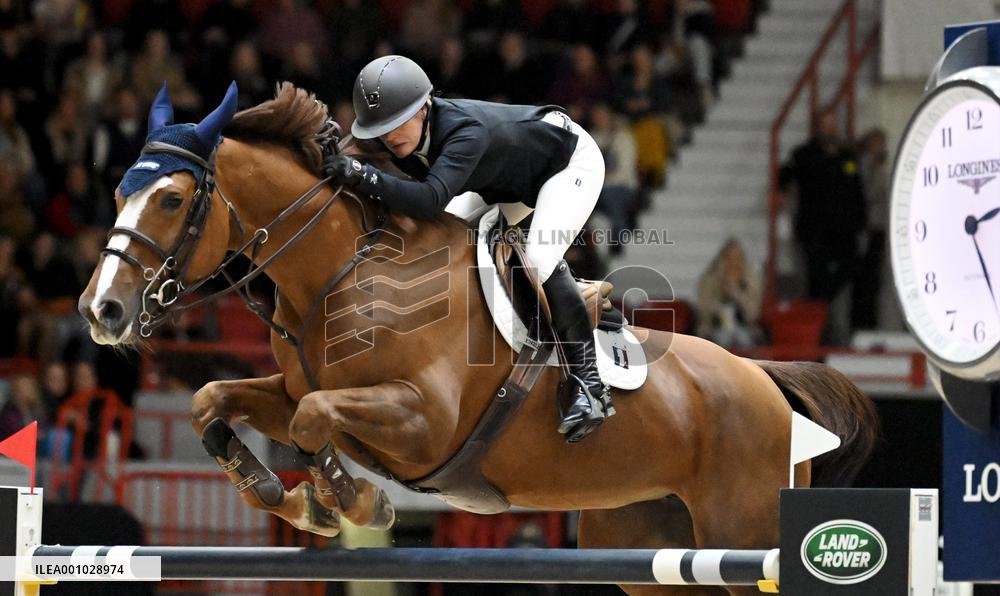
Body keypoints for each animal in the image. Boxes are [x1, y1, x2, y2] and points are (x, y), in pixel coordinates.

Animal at [78, 83, 878, 596]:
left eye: (173, 198)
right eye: (118, 190)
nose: (102, 311)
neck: (340, 270)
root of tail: (766, 382)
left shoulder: (421, 420)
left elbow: (312, 421)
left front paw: (352, 505)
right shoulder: (293, 386)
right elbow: (215, 400)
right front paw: (285, 496)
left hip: (744, 531)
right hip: (646, 548)